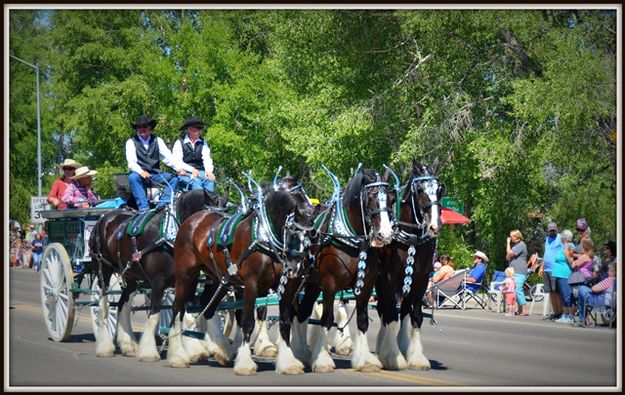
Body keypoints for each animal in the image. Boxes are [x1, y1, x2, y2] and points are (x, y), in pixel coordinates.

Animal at [88, 187, 222, 360]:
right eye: (209, 220)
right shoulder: (158, 281)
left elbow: (185, 312)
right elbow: (155, 313)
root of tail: (103, 219)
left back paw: (129, 345)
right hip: (103, 270)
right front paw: (149, 352)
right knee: (103, 305)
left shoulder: (189, 281)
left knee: (122, 305)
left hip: (131, 277)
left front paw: (192, 349)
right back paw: (105, 347)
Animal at [166, 181, 316, 376]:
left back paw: (220, 349)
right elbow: (247, 321)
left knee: (207, 306)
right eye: (292, 231)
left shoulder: (288, 286)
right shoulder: (251, 285)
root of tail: (192, 219)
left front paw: (288, 363)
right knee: (178, 308)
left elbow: (285, 322)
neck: (266, 238)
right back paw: (177, 356)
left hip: (220, 279)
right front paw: (245, 363)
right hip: (185, 275)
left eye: (312, 235)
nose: (295, 266)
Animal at [288, 167, 394, 374]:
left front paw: (365, 361)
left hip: (313, 283)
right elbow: (327, 319)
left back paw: (302, 353)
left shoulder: (366, 285)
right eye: (371, 197)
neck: (351, 238)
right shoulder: (330, 284)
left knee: (303, 313)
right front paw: (322, 360)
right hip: (297, 279)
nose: (385, 234)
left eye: (390, 199)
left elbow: (362, 320)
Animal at [372, 158, 442, 372]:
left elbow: (415, 316)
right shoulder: (389, 277)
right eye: (420, 189)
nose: (435, 226)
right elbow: (391, 314)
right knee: (385, 309)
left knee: (399, 310)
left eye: (440, 188)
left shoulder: (420, 280)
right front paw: (392, 356)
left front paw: (416, 356)